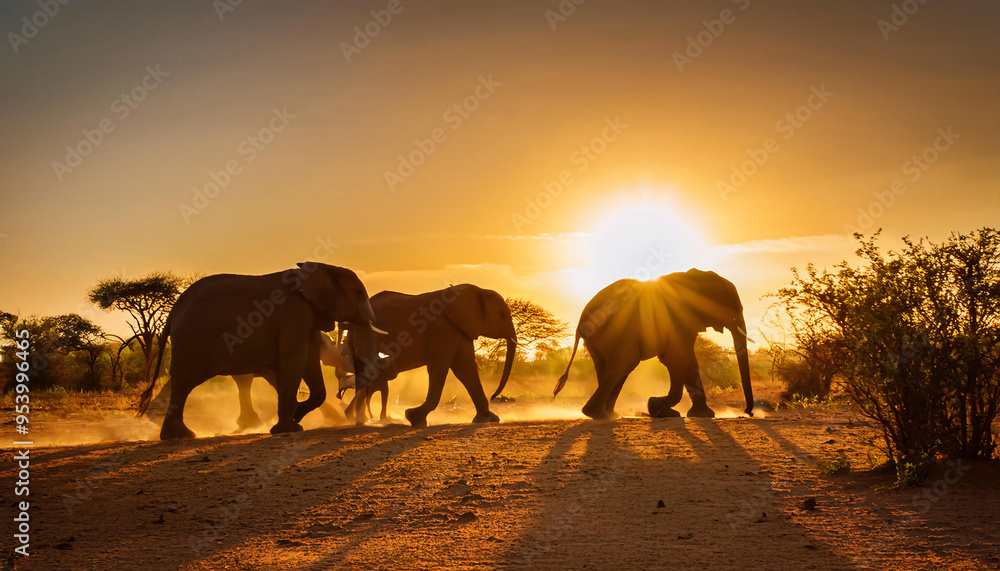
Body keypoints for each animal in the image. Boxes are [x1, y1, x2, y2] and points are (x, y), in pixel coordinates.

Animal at [137, 262, 384, 439]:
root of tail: (175, 309)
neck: (323, 268)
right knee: (184, 381)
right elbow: (293, 363)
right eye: (359, 293)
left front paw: (296, 416)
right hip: (192, 338)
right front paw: (290, 427)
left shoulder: (306, 319)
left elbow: (309, 365)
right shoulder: (294, 316)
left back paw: (176, 436)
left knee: (183, 382)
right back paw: (183, 436)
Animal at [359, 284, 518, 428]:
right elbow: (439, 369)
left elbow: (466, 370)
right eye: (502, 314)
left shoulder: (459, 329)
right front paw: (414, 418)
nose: (493, 397)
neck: (478, 290)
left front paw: (489, 419)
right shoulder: (443, 329)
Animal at [554, 269, 754, 420]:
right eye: (734, 307)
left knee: (612, 369)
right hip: (616, 332)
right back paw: (598, 415)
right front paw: (657, 407)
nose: (748, 412)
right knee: (623, 365)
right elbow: (677, 360)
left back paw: (610, 415)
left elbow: (689, 362)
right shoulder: (677, 317)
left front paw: (701, 414)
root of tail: (581, 322)